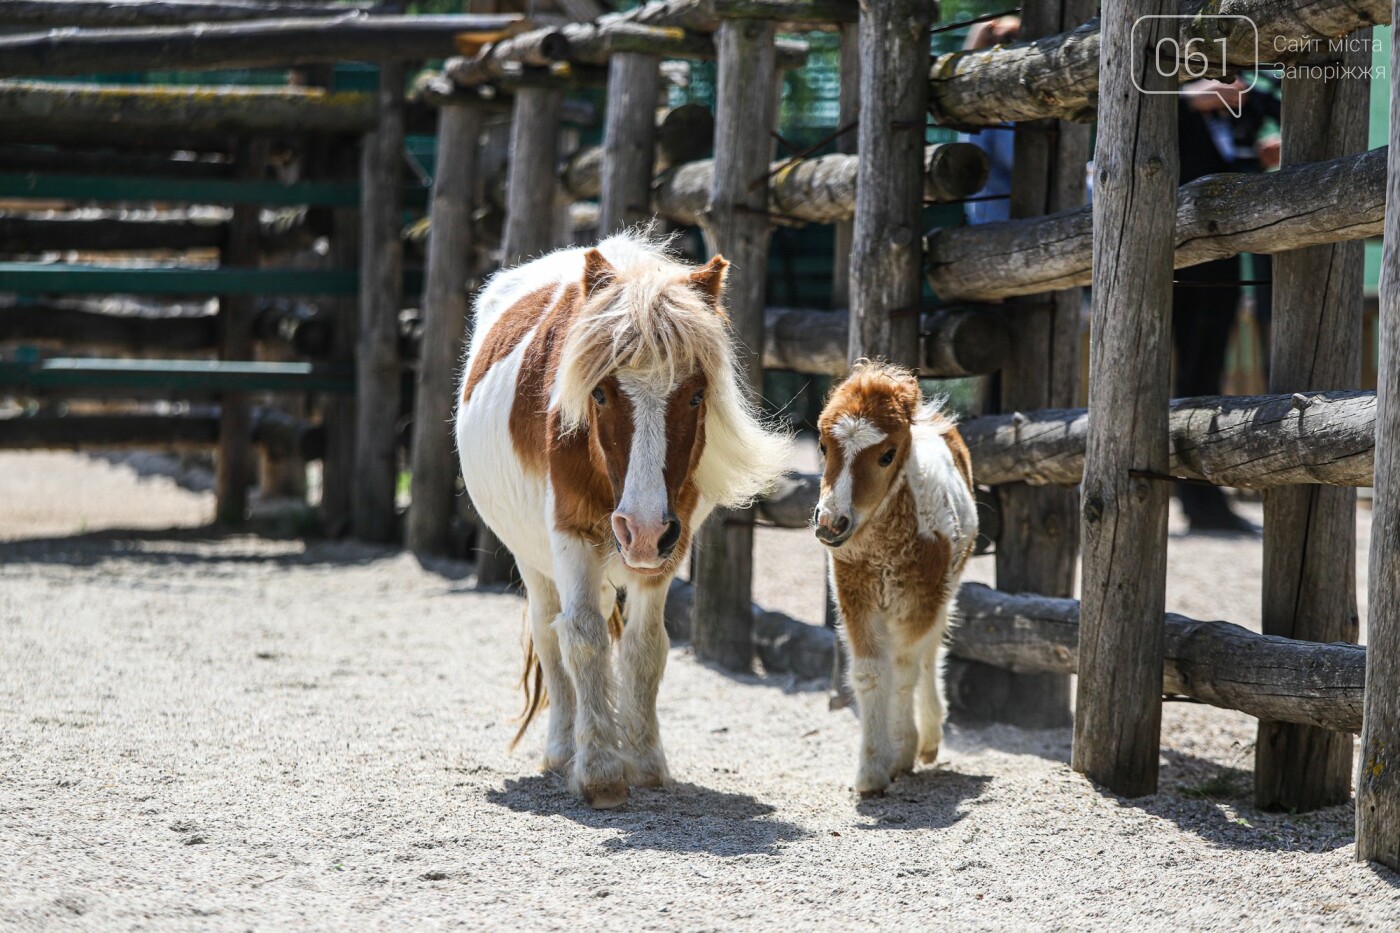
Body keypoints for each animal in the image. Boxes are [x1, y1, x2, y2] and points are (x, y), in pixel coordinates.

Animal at [456, 232, 789, 806]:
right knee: (551, 634)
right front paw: (599, 771)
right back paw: (562, 749)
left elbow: (645, 648)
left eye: (696, 394)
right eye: (600, 392)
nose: (643, 528)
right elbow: (584, 637)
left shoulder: (669, 546)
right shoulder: (569, 535)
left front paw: (645, 761)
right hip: (534, 559)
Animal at [817, 358, 980, 795]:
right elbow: (871, 673)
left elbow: (906, 671)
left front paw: (902, 752)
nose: (831, 524)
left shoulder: (921, 600)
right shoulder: (855, 596)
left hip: (945, 589)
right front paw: (872, 770)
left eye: (887, 455)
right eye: (823, 446)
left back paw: (928, 738)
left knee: (930, 652)